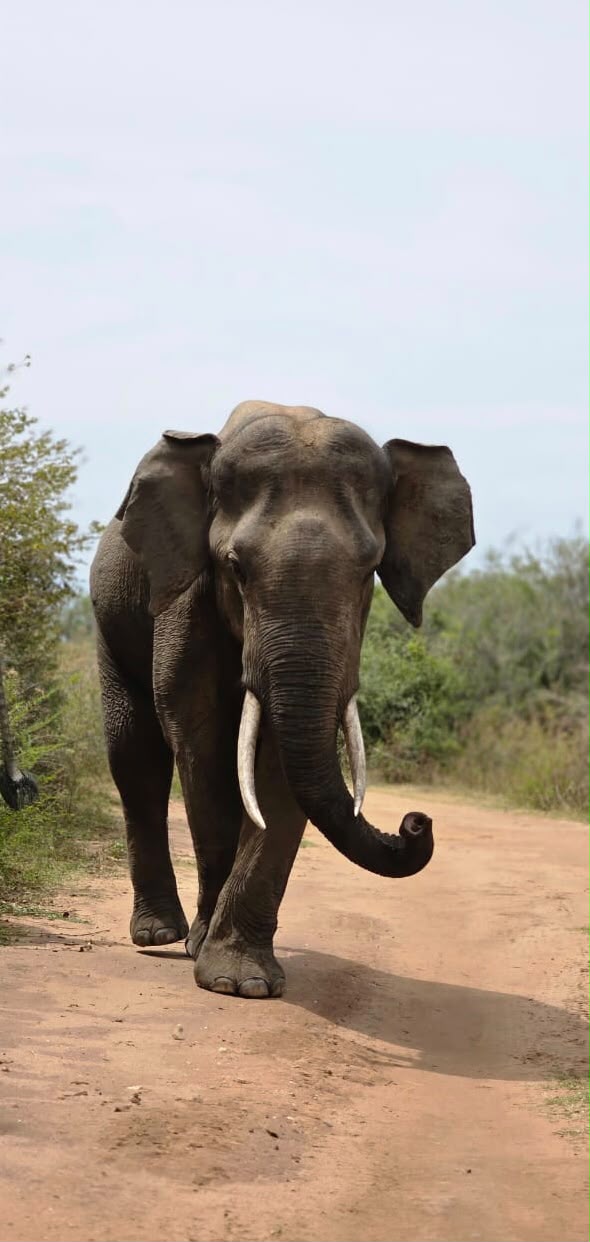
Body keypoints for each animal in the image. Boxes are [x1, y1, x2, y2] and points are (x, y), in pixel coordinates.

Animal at [90, 400, 474, 999]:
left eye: (370, 572)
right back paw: (160, 935)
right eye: (235, 568)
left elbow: (278, 766)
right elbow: (202, 747)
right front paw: (217, 967)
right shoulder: (188, 597)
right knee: (136, 756)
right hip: (111, 619)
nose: (417, 821)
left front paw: (242, 981)